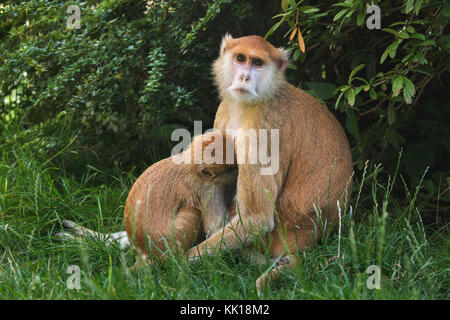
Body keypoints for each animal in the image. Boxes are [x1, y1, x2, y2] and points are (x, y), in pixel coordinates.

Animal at [123, 131, 236, 264]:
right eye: (231, 168)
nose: (237, 170)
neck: (190, 166)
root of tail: (144, 253)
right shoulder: (207, 189)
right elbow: (216, 226)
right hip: (173, 238)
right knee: (192, 211)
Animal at [187, 35, 356, 292]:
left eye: (258, 63)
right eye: (240, 58)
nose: (244, 77)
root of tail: (311, 234)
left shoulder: (262, 130)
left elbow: (257, 219)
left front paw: (179, 261)